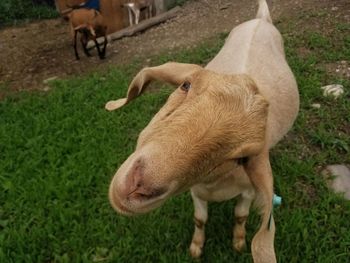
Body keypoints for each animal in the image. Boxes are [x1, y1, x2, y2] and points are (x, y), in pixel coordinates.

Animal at [106, 1, 298, 262]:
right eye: (185, 85)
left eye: (242, 158)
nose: (137, 186)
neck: (215, 186)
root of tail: (261, 20)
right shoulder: (196, 191)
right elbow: (199, 219)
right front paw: (196, 247)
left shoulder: (248, 191)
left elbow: (241, 216)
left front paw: (238, 241)